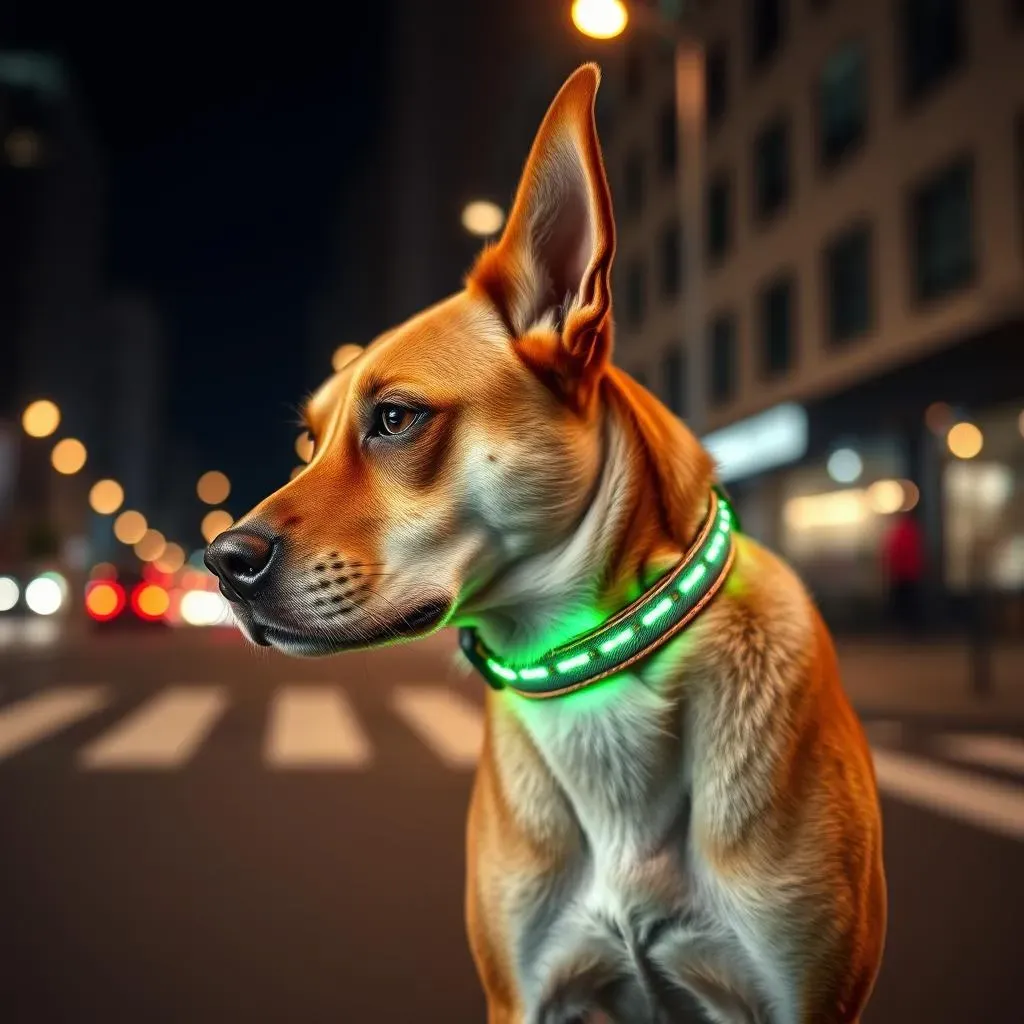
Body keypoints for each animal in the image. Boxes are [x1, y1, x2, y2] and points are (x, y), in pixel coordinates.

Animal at [203, 66, 884, 1024]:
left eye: (396, 419)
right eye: (309, 440)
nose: (222, 563)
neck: (596, 678)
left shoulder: (807, 1000)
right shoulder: (524, 993)